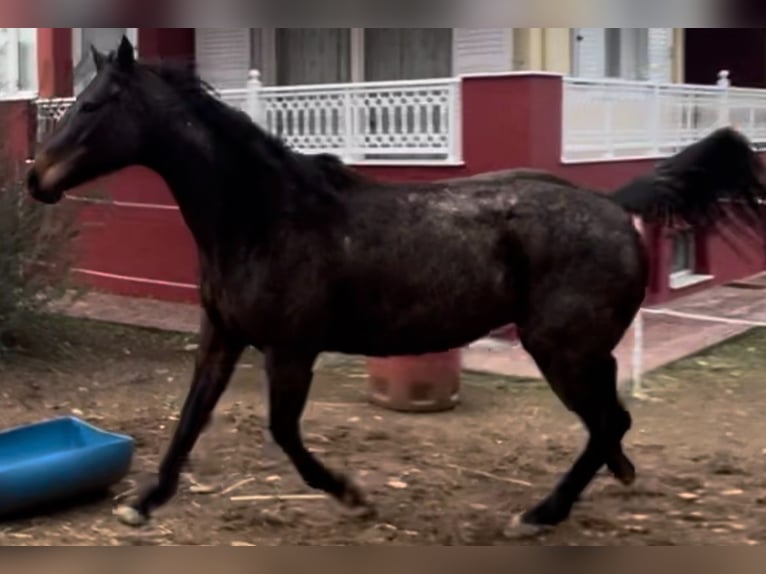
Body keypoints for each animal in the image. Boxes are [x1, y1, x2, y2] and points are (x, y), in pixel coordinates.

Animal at [26, 36, 766, 538]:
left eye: (93, 105)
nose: (35, 178)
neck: (262, 215)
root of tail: (616, 204)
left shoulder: (290, 350)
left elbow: (284, 434)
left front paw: (354, 497)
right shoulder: (221, 338)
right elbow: (188, 420)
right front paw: (142, 503)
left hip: (562, 350)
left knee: (608, 419)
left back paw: (539, 514)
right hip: (585, 352)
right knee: (611, 422)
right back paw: (616, 476)